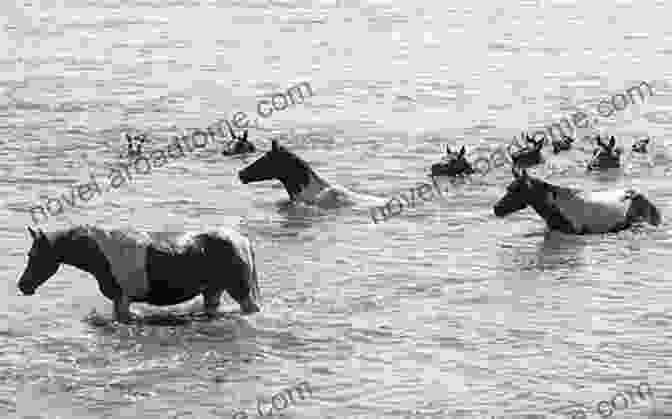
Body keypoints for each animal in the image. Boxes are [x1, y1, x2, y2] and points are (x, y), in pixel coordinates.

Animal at [17, 225, 260, 324]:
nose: (23, 286)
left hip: (240, 291)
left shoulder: (122, 300)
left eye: (34, 255)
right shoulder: (119, 301)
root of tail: (242, 240)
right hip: (212, 291)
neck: (102, 252)